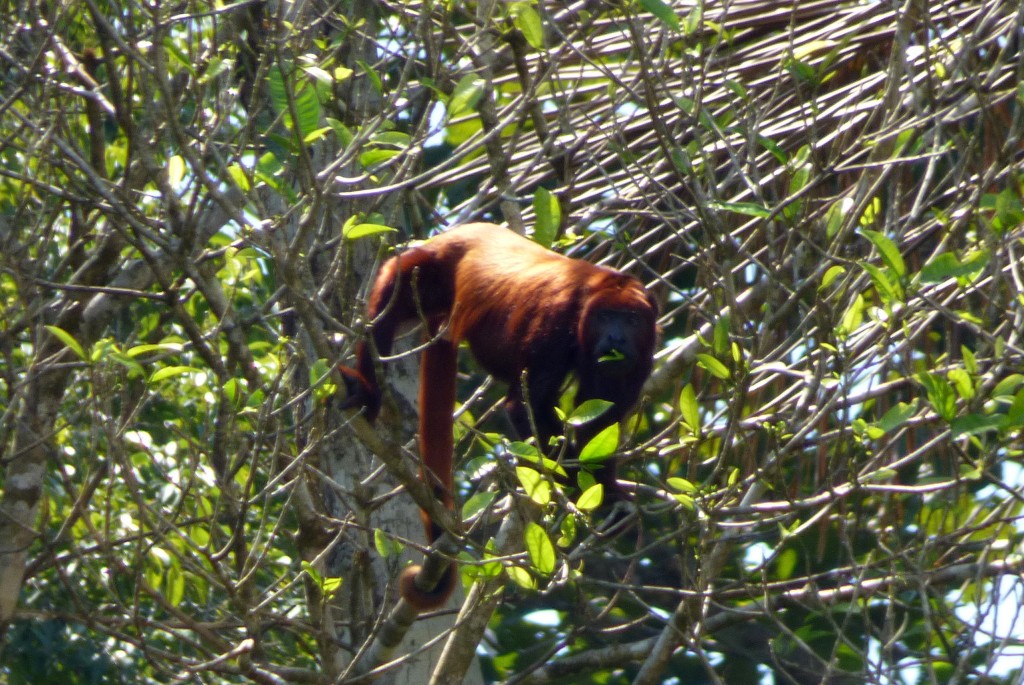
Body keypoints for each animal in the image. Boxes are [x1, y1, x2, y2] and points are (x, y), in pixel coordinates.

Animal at [342, 222, 655, 606]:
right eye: (605, 316)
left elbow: (602, 422)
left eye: (632, 320)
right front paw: (581, 489)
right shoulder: (556, 321)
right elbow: (525, 404)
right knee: (391, 296)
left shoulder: (640, 359)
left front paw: (608, 495)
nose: (615, 337)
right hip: (429, 270)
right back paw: (366, 391)